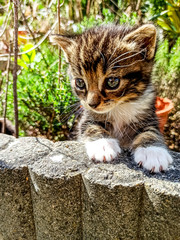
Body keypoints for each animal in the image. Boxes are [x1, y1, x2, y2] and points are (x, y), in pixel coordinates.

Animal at [50, 23, 173, 172]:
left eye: (112, 82)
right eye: (80, 83)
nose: (92, 104)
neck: (120, 106)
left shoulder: (148, 112)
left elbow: (151, 130)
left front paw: (153, 151)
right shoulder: (87, 116)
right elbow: (90, 125)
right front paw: (102, 145)